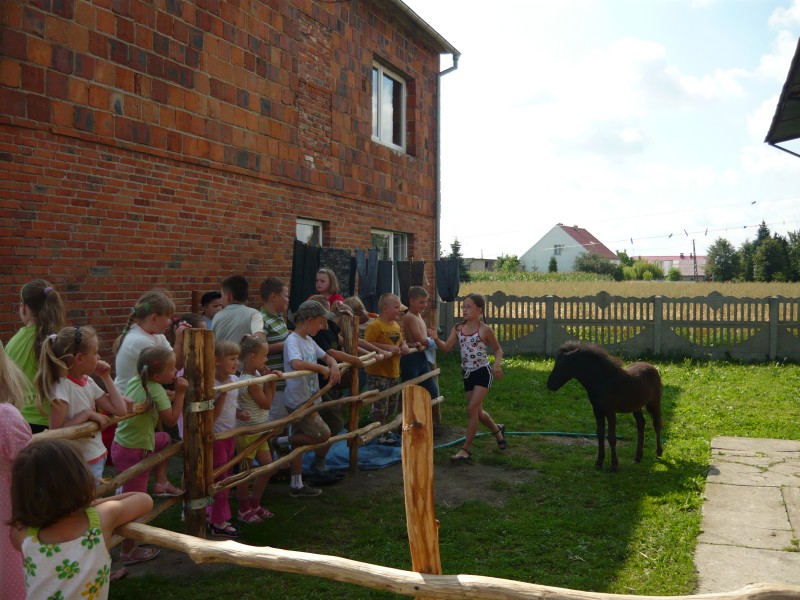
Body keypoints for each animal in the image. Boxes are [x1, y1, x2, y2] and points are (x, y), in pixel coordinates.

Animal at [548, 340, 664, 472]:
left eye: (563, 365)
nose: (549, 384)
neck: (603, 380)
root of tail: (653, 368)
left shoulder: (610, 412)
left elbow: (611, 437)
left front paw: (614, 465)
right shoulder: (597, 411)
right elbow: (600, 434)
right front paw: (599, 462)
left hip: (654, 403)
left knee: (656, 424)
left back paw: (658, 452)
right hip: (636, 406)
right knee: (641, 424)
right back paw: (637, 457)